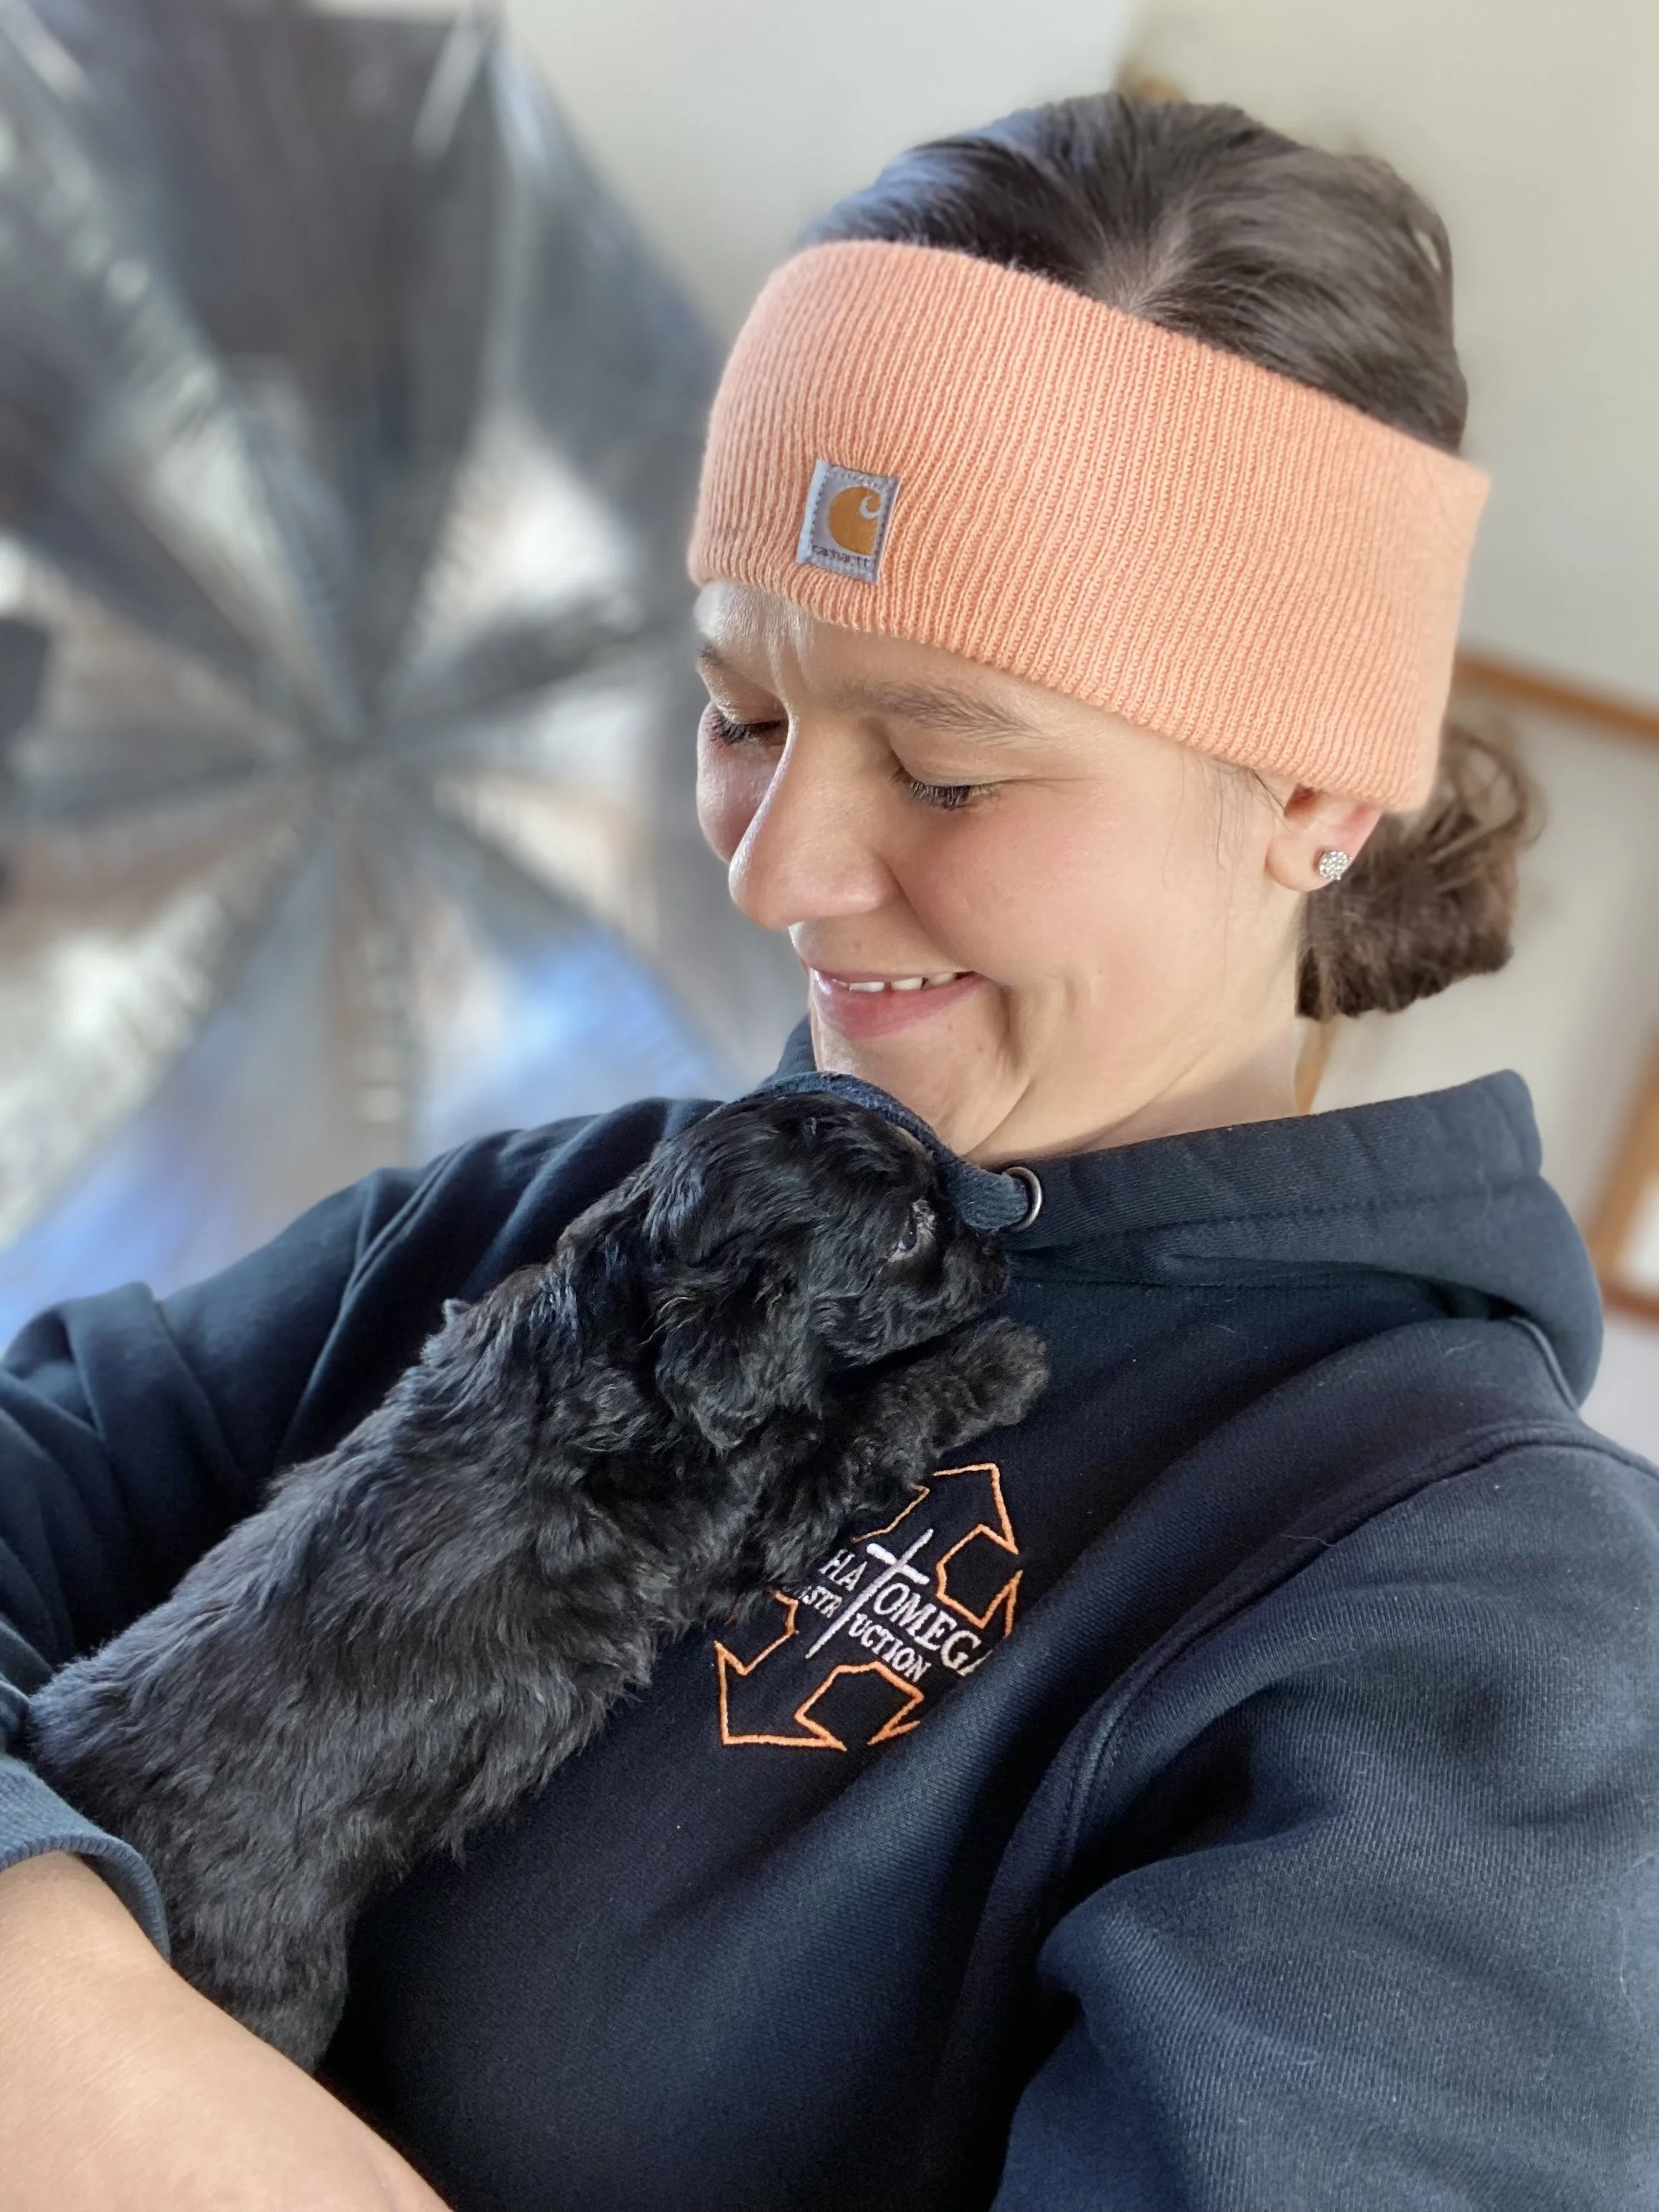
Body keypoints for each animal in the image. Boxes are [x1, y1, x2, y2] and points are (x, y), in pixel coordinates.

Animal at [24, 1088, 1049, 2072]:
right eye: (910, 1232)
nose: (1000, 1249)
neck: (604, 1335)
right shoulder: (761, 1513)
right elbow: (872, 1418)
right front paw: (996, 1365)